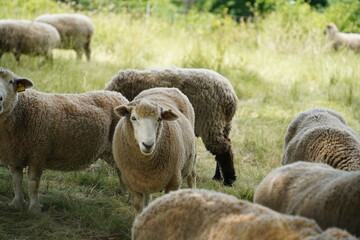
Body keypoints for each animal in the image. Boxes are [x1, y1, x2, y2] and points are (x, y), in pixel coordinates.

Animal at [0, 67, 129, 212]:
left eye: (11, 82)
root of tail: (118, 95)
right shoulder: (14, 155)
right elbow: (16, 181)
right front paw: (16, 204)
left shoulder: (38, 154)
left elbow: (33, 183)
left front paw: (34, 208)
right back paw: (126, 196)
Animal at [105, 66, 238, 187]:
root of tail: (230, 97)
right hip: (224, 125)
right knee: (226, 147)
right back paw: (218, 177)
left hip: (211, 122)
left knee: (223, 150)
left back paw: (228, 181)